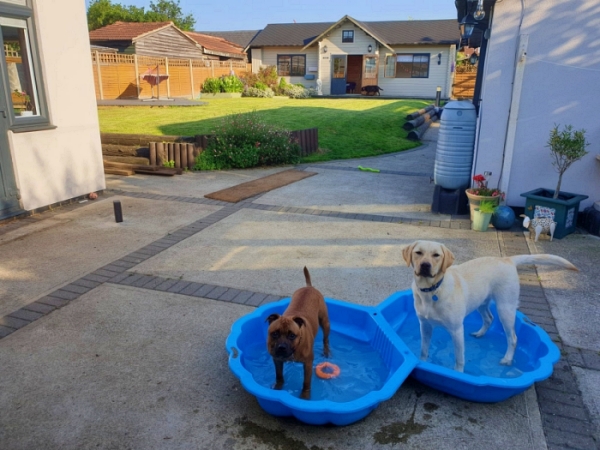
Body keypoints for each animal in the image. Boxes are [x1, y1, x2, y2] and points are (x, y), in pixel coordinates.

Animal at [266, 266, 330, 400]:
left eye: (292, 335)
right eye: (274, 334)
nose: (281, 347)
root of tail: (309, 287)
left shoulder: (308, 364)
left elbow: (306, 382)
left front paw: (305, 396)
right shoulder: (277, 360)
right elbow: (279, 376)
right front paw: (277, 388)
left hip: (325, 322)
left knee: (325, 339)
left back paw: (326, 351)